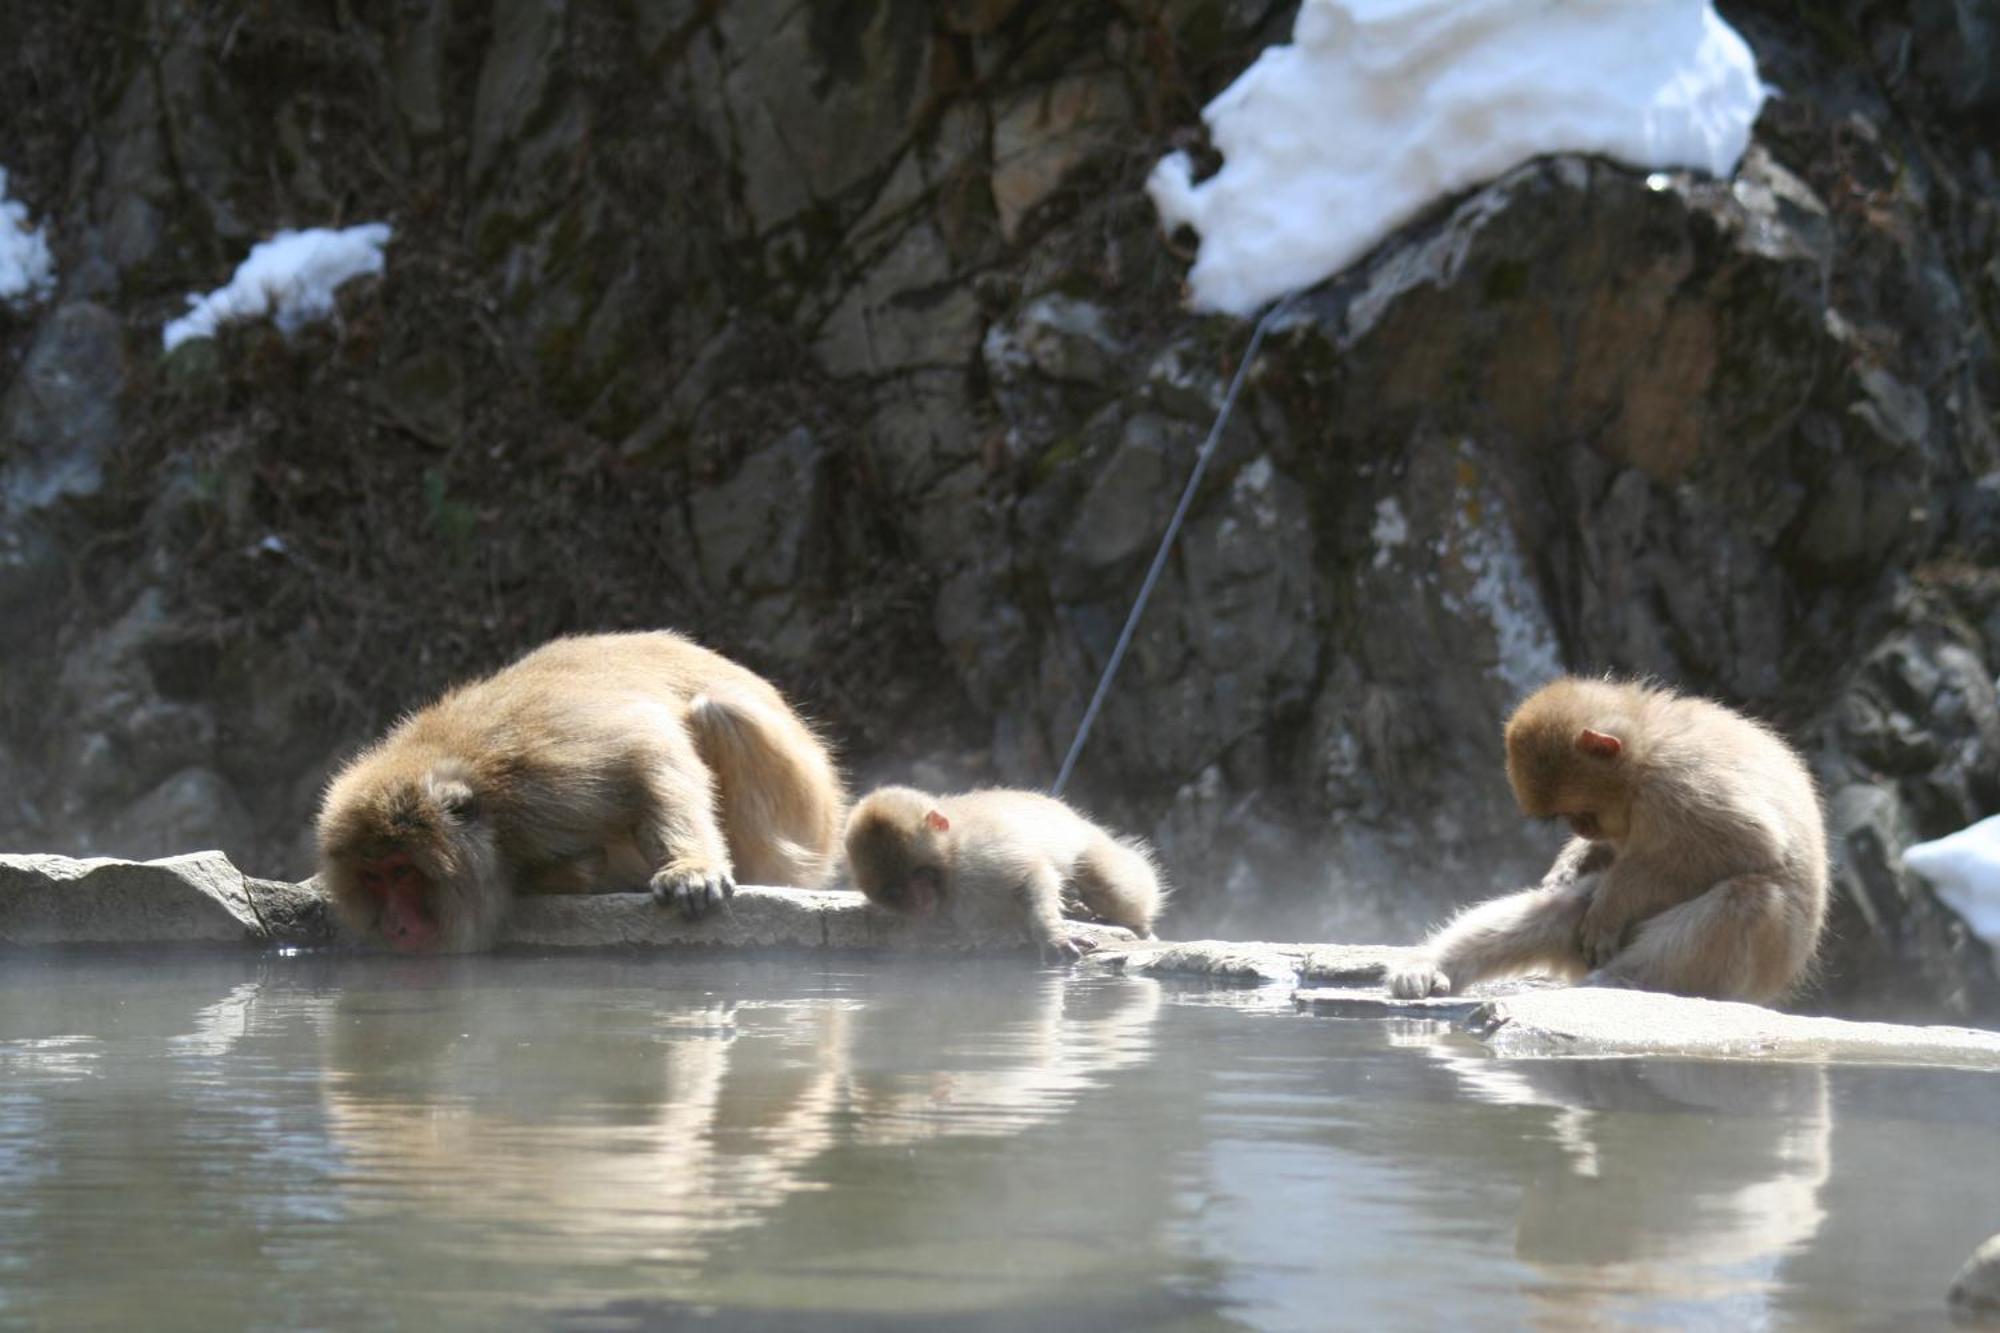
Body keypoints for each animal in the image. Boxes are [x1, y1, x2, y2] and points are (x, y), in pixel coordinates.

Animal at [314, 632, 844, 948]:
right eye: (373, 876)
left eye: (402, 871)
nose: (394, 925)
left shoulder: (544, 781)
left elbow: (648, 751)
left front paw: (690, 868)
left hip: (804, 816)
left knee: (719, 713)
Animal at [848, 784, 1168, 960]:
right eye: (894, 891)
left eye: (920, 874)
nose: (917, 901)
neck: (950, 860)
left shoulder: (980, 855)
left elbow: (1032, 874)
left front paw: (1051, 933)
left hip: (1096, 847)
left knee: (1112, 890)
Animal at [1392, 680, 1832, 1000]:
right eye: (1569, 819)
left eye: (1584, 813)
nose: (1583, 830)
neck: (1645, 744)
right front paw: (1573, 862)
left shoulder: (1679, 781)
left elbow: (1749, 843)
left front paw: (1615, 898)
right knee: (1563, 908)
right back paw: (1433, 965)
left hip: (1752, 969)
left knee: (1751, 899)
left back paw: (1620, 978)